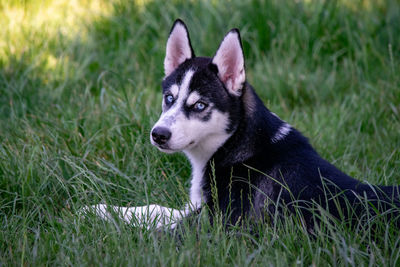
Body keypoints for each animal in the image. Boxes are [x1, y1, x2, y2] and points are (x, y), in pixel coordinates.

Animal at [86, 19, 400, 232]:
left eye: (200, 106)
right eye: (169, 98)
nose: (158, 135)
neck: (234, 144)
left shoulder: (222, 224)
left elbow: (166, 228)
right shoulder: (200, 208)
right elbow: (158, 210)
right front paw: (101, 209)